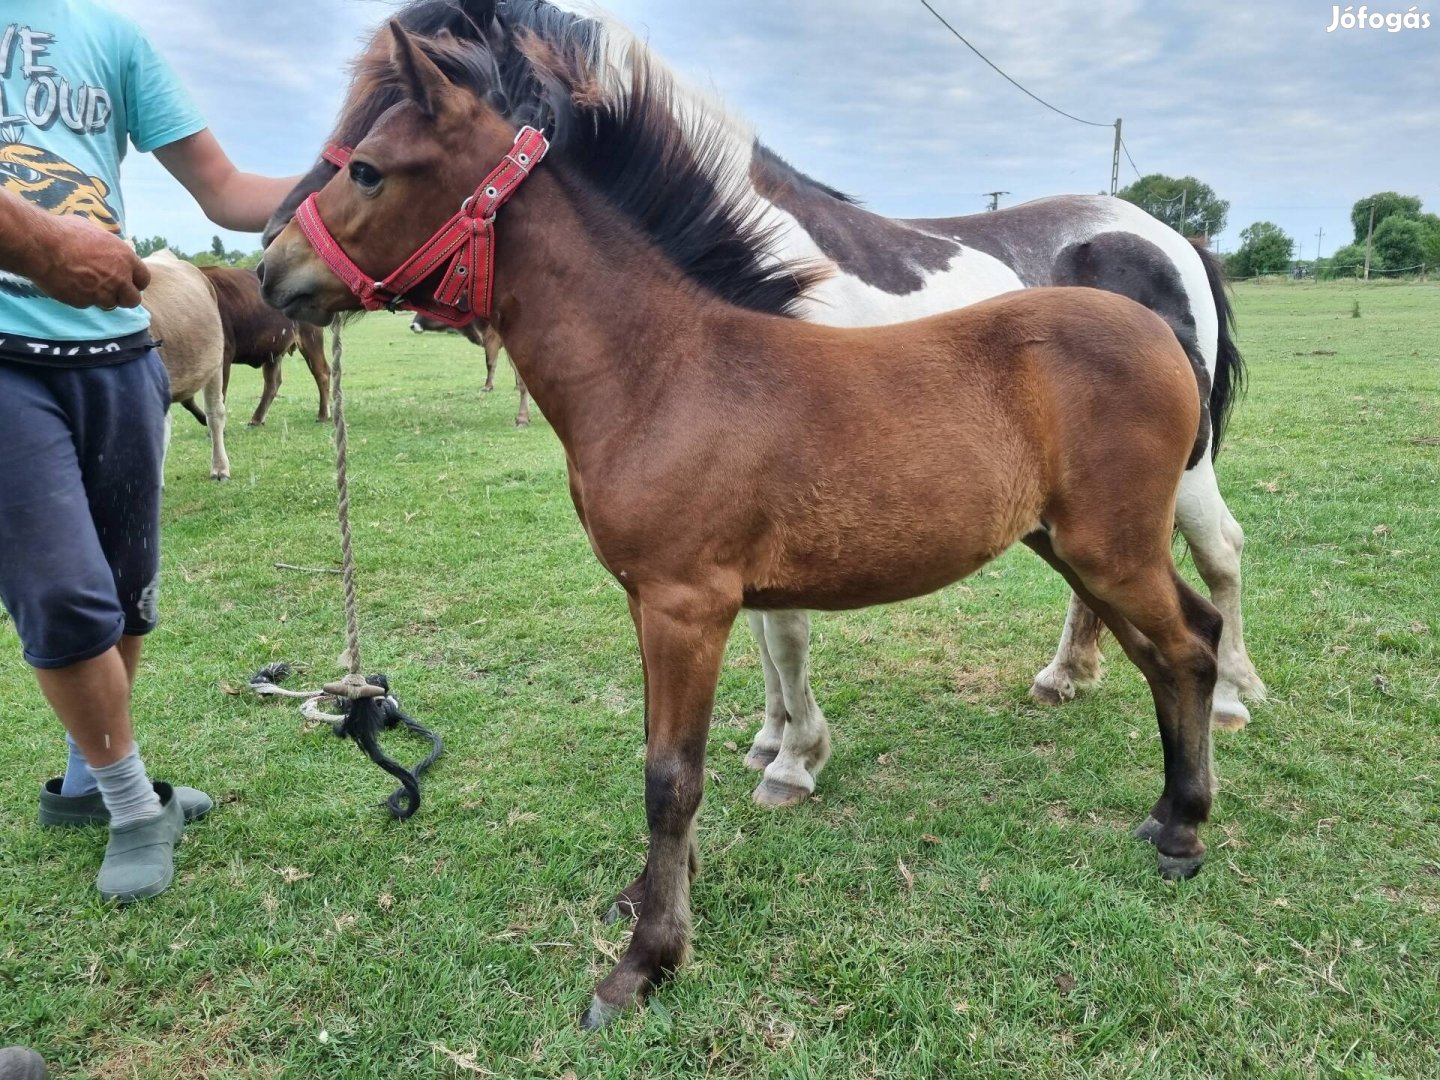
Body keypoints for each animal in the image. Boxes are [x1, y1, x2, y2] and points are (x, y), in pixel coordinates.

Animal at [262, 21, 1226, 1025]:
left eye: (367, 169)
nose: (268, 270)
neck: (662, 371)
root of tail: (1161, 330)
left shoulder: (687, 606)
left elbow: (670, 777)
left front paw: (645, 962)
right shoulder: (650, 604)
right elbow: (662, 757)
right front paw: (650, 898)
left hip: (1111, 548)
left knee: (1191, 643)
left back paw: (1186, 833)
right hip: (1080, 548)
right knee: (1169, 646)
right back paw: (1165, 811)